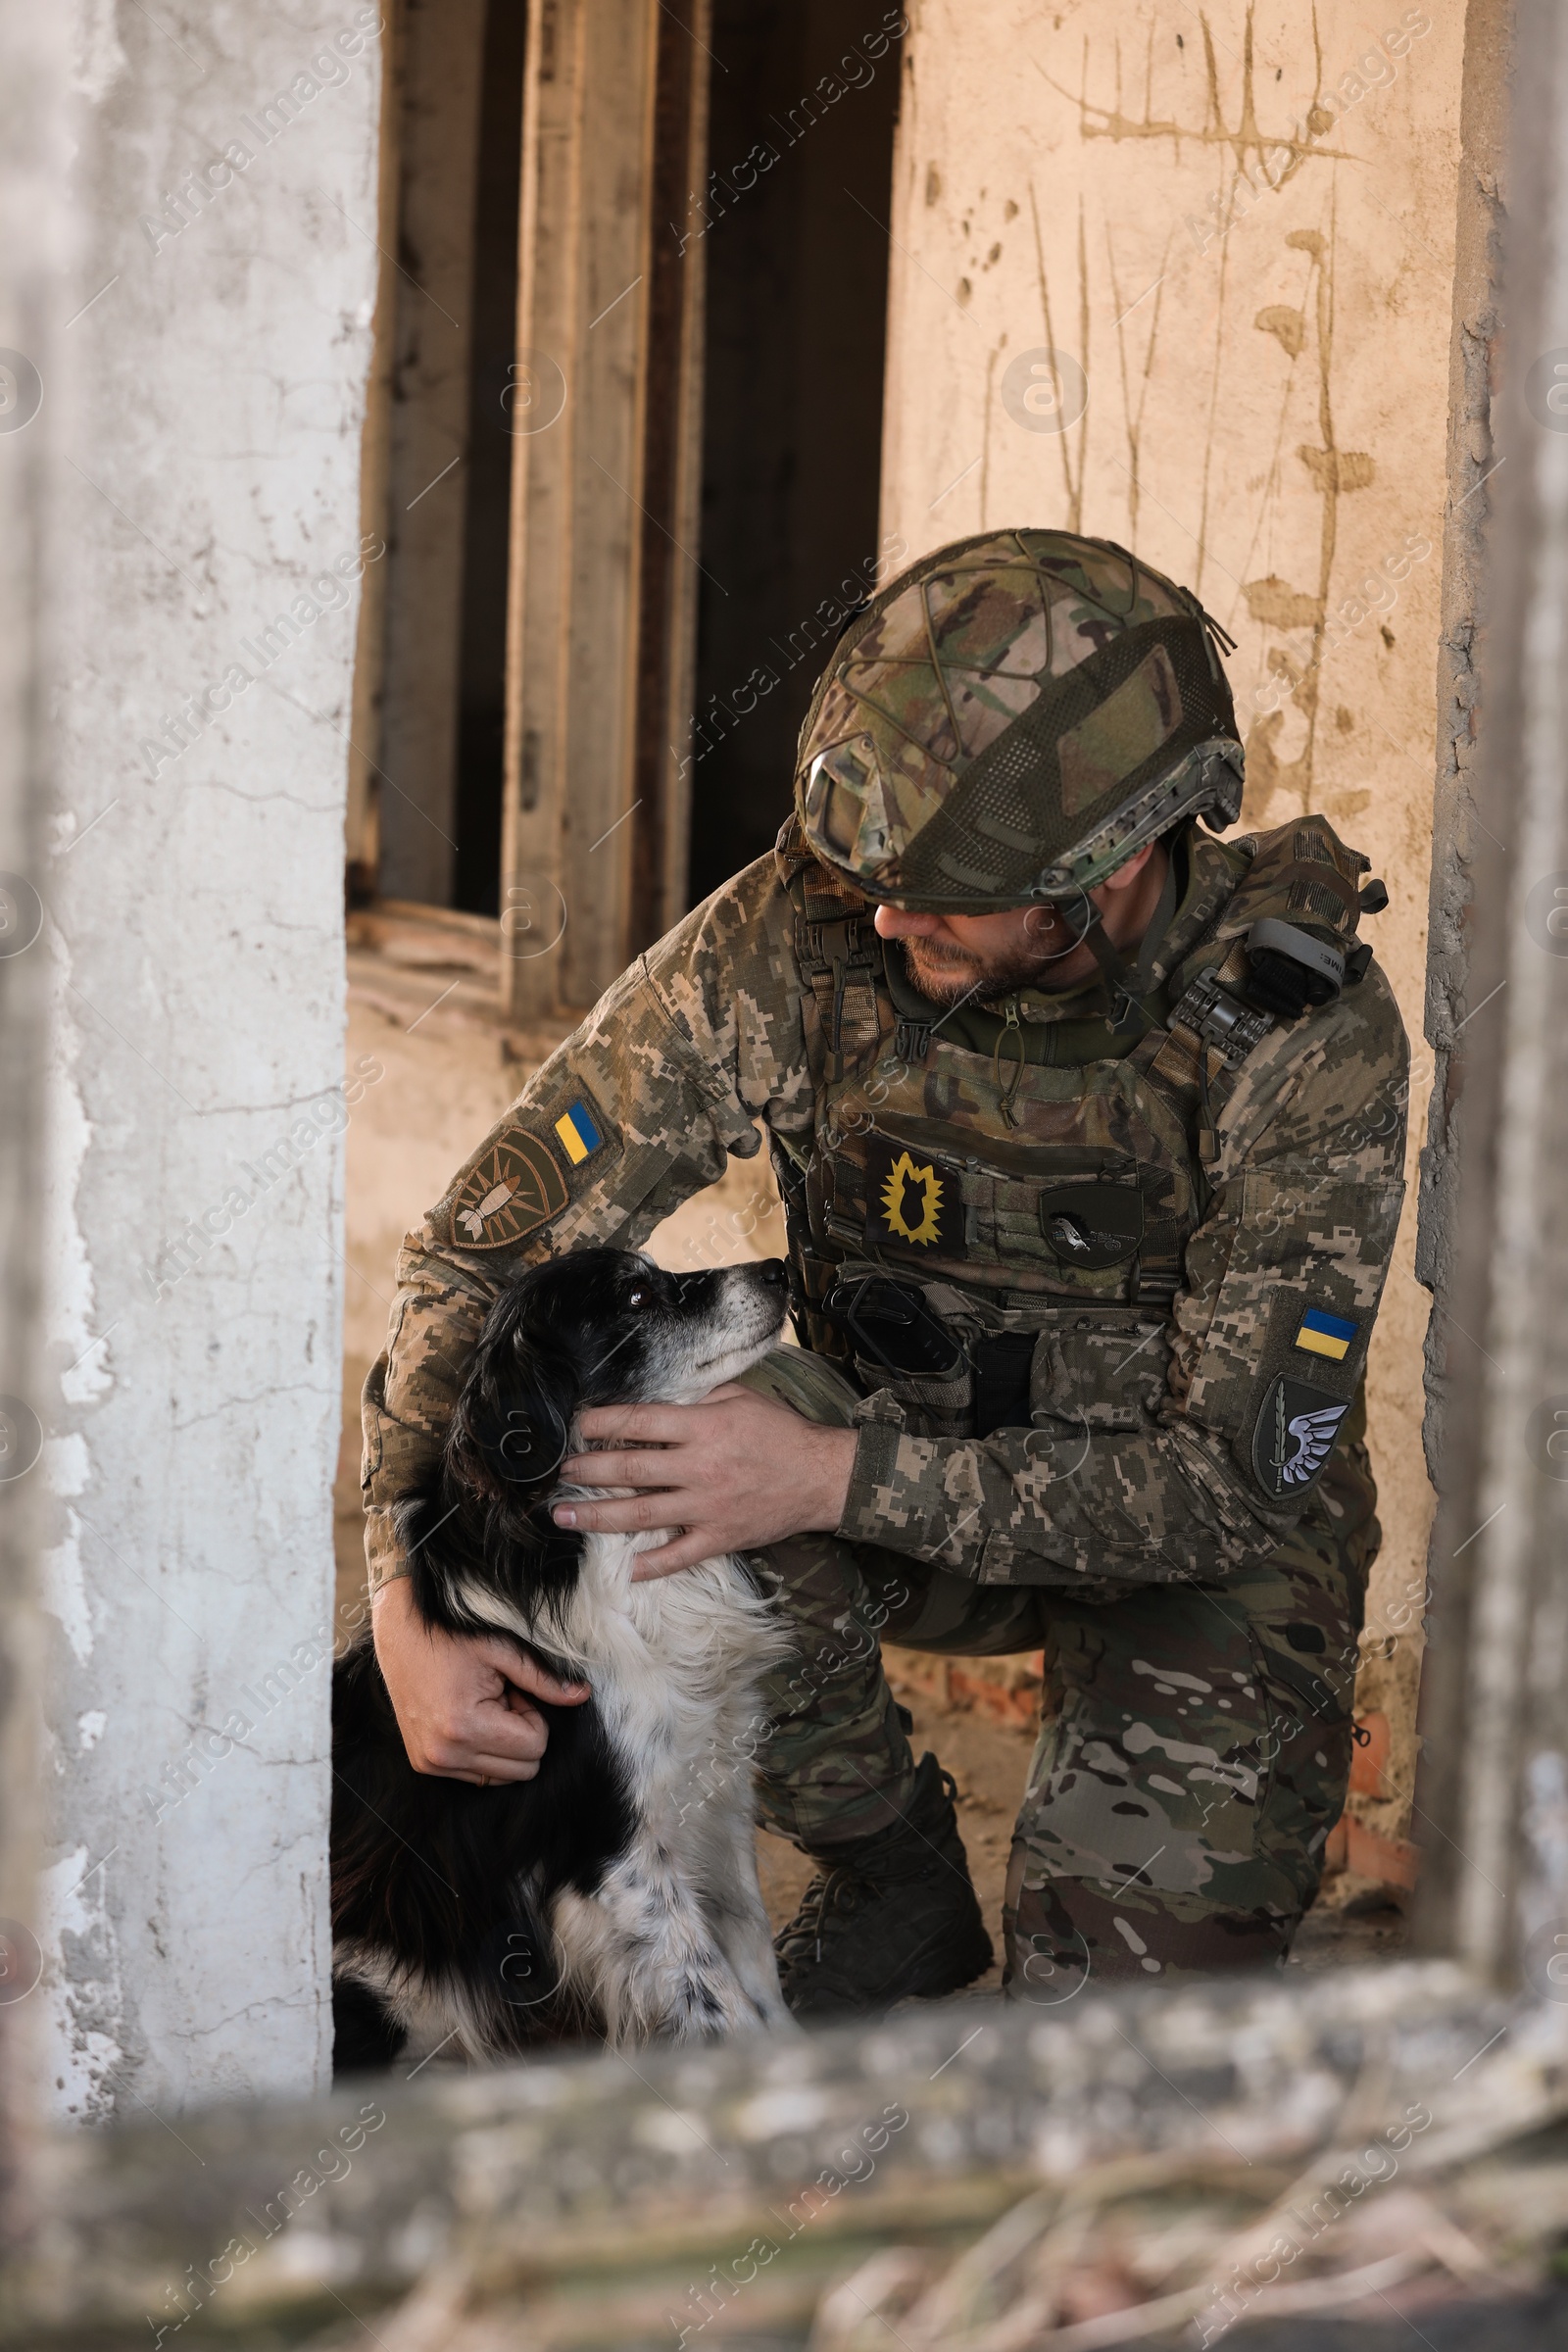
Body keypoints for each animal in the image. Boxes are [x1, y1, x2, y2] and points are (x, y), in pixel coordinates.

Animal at [331, 1250, 799, 2060]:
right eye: (637, 1297)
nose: (777, 1266)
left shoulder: (719, 1787)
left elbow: (755, 1960)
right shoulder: (613, 1854)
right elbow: (718, 2001)